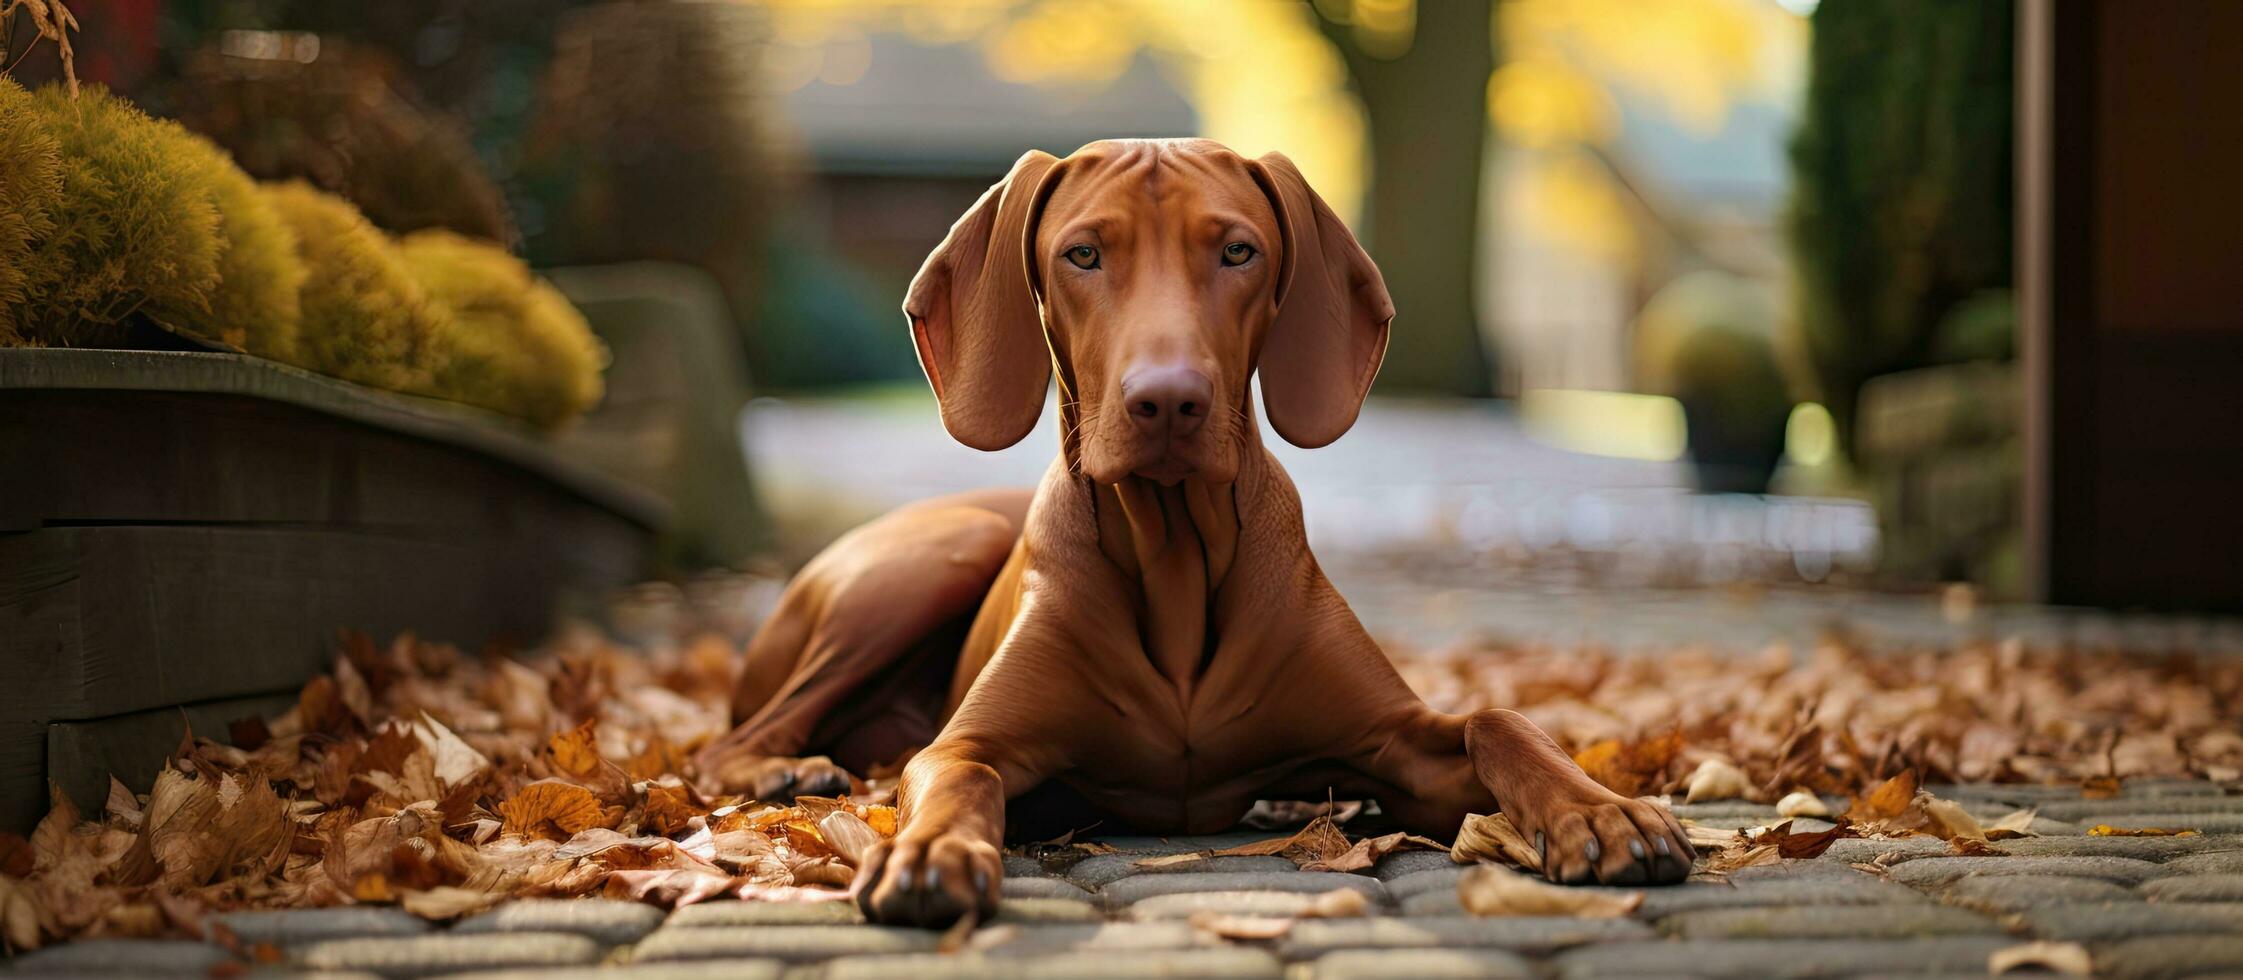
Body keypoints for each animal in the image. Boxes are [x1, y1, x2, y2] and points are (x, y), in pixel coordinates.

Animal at [690, 139, 1686, 923]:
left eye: (1238, 251)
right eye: (1082, 254)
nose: (1166, 400)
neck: (1172, 552)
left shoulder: (1403, 751)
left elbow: (1496, 717)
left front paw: (1600, 811)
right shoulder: (967, 744)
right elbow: (960, 772)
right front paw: (930, 852)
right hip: (929, 560)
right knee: (732, 740)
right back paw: (784, 770)